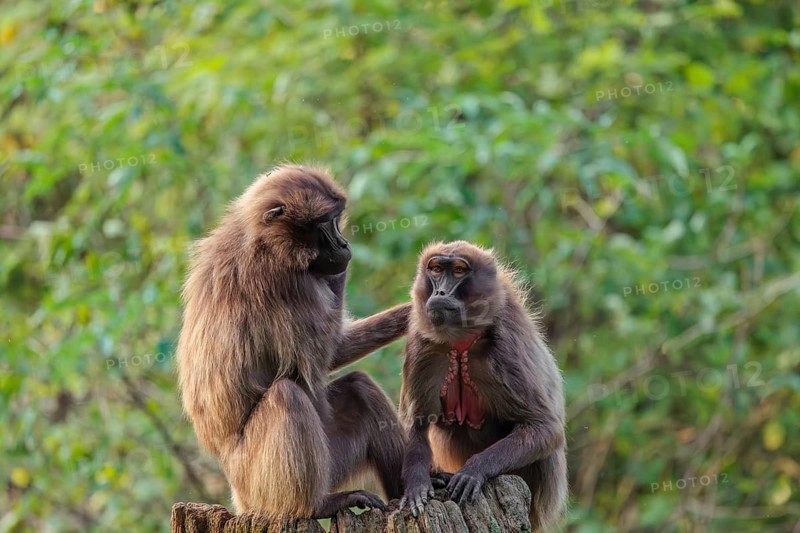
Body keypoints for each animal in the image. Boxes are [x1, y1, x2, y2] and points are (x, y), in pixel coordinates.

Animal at [176, 165, 411, 520]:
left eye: (336, 220)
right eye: (326, 223)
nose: (344, 244)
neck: (261, 242)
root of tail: (237, 497)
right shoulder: (284, 282)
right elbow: (317, 359)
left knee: (359, 386)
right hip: (258, 483)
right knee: (287, 395)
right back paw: (317, 506)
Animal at [398, 241, 567, 531]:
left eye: (458, 271)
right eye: (435, 269)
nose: (440, 292)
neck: (461, 342)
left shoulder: (507, 348)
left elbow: (545, 427)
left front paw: (474, 470)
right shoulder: (422, 345)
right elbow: (416, 424)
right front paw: (417, 484)